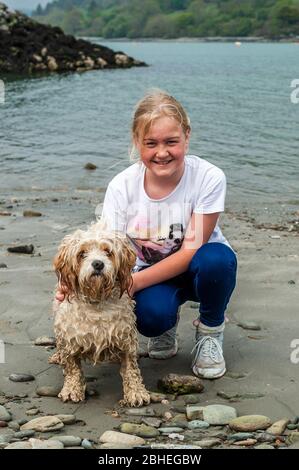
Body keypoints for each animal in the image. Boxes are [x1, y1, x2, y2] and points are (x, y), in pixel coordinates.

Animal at [50, 222, 151, 406]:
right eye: (82, 254)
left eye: (108, 252)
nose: (98, 264)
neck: (96, 301)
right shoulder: (68, 338)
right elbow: (72, 367)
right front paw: (72, 389)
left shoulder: (126, 338)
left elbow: (131, 368)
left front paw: (136, 392)